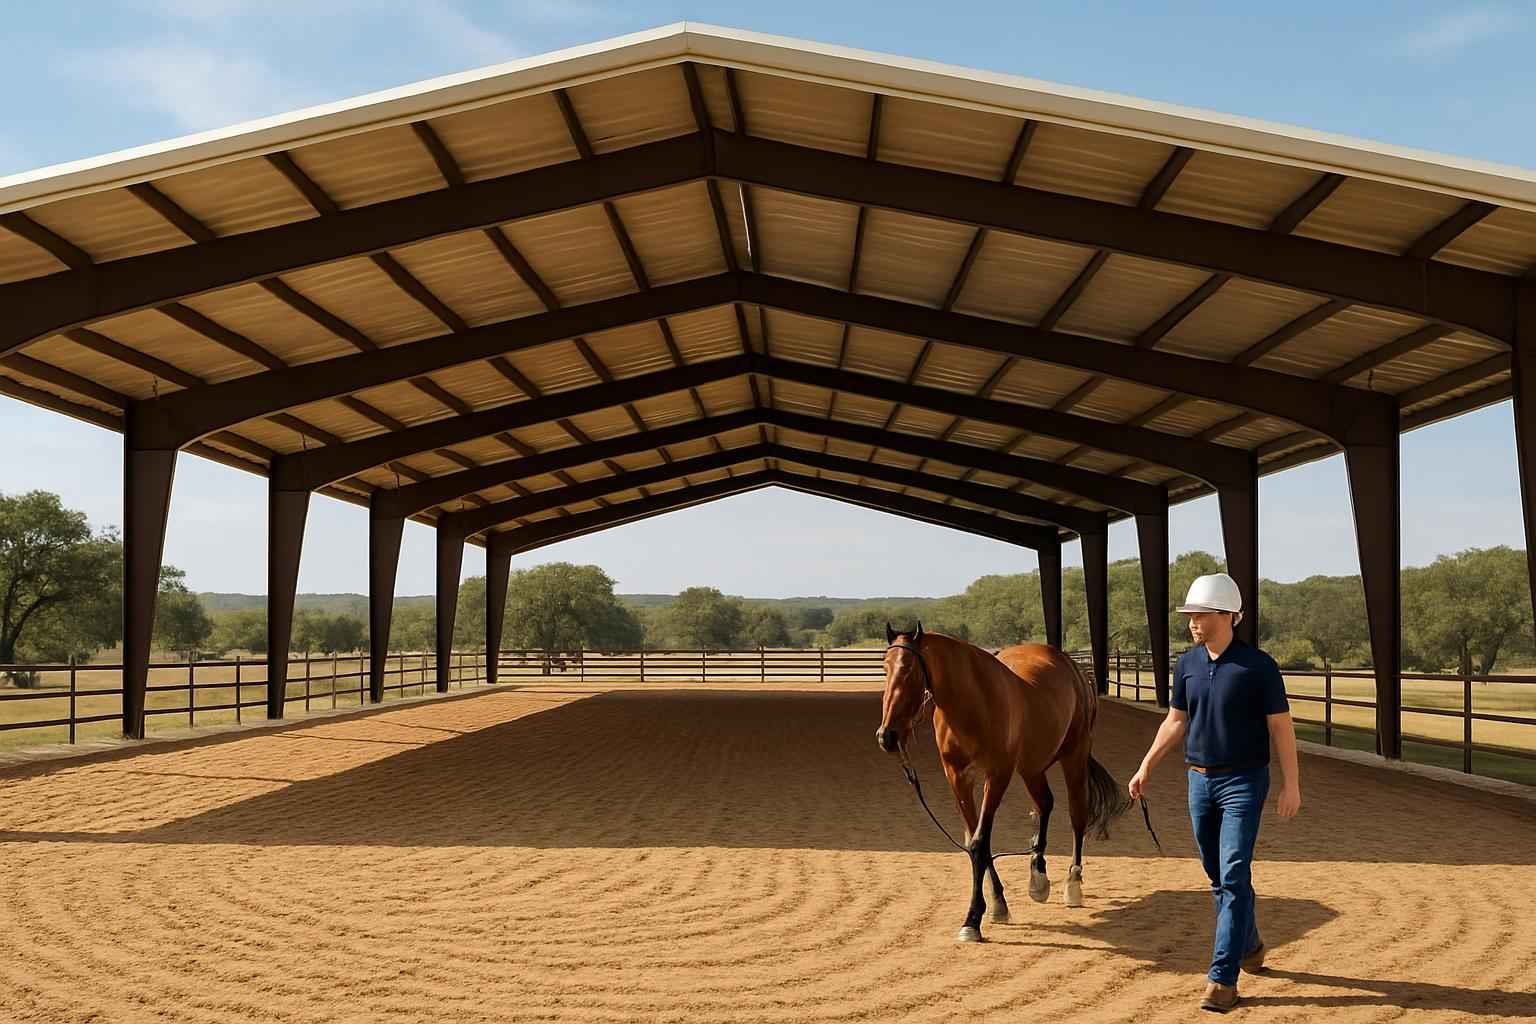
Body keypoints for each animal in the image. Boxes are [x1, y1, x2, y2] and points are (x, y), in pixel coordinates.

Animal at [875, 623, 1132, 942]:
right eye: (885, 667)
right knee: (1044, 804)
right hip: (1031, 767)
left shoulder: (997, 775)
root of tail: (1071, 667)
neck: (973, 705)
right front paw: (997, 904)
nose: (887, 736)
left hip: (1074, 756)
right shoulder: (958, 778)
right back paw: (1038, 877)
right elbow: (975, 843)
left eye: (909, 669)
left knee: (1077, 815)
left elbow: (979, 842)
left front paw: (972, 920)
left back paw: (1072, 884)